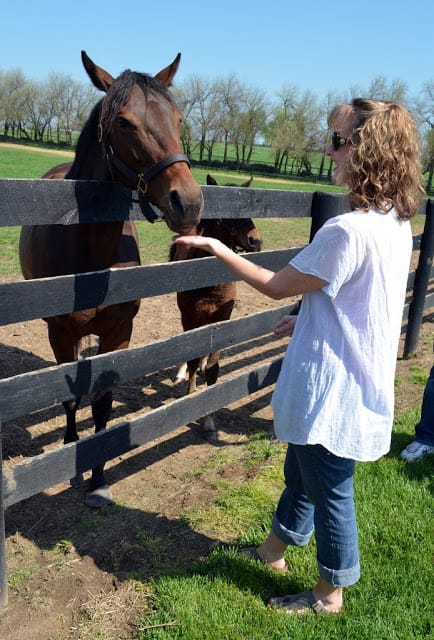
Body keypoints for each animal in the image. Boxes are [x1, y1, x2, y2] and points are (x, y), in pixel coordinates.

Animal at [18, 51, 203, 504]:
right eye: (124, 122)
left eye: (178, 118)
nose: (188, 203)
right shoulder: (60, 333)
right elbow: (69, 397)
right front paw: (71, 454)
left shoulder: (119, 332)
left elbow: (102, 402)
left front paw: (98, 477)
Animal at [170, 174, 262, 440]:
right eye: (227, 214)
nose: (255, 240)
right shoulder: (190, 316)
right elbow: (191, 354)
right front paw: (190, 394)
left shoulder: (222, 319)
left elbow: (212, 367)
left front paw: (209, 421)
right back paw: (181, 373)